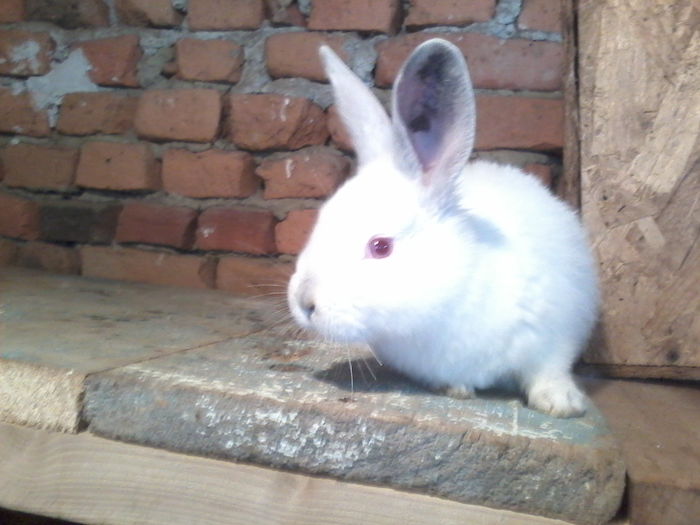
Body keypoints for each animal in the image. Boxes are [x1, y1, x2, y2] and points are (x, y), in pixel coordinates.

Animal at [287, 38, 599, 418]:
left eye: (381, 246)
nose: (304, 302)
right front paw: (456, 389)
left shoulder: (557, 331)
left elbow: (549, 370)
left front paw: (562, 404)